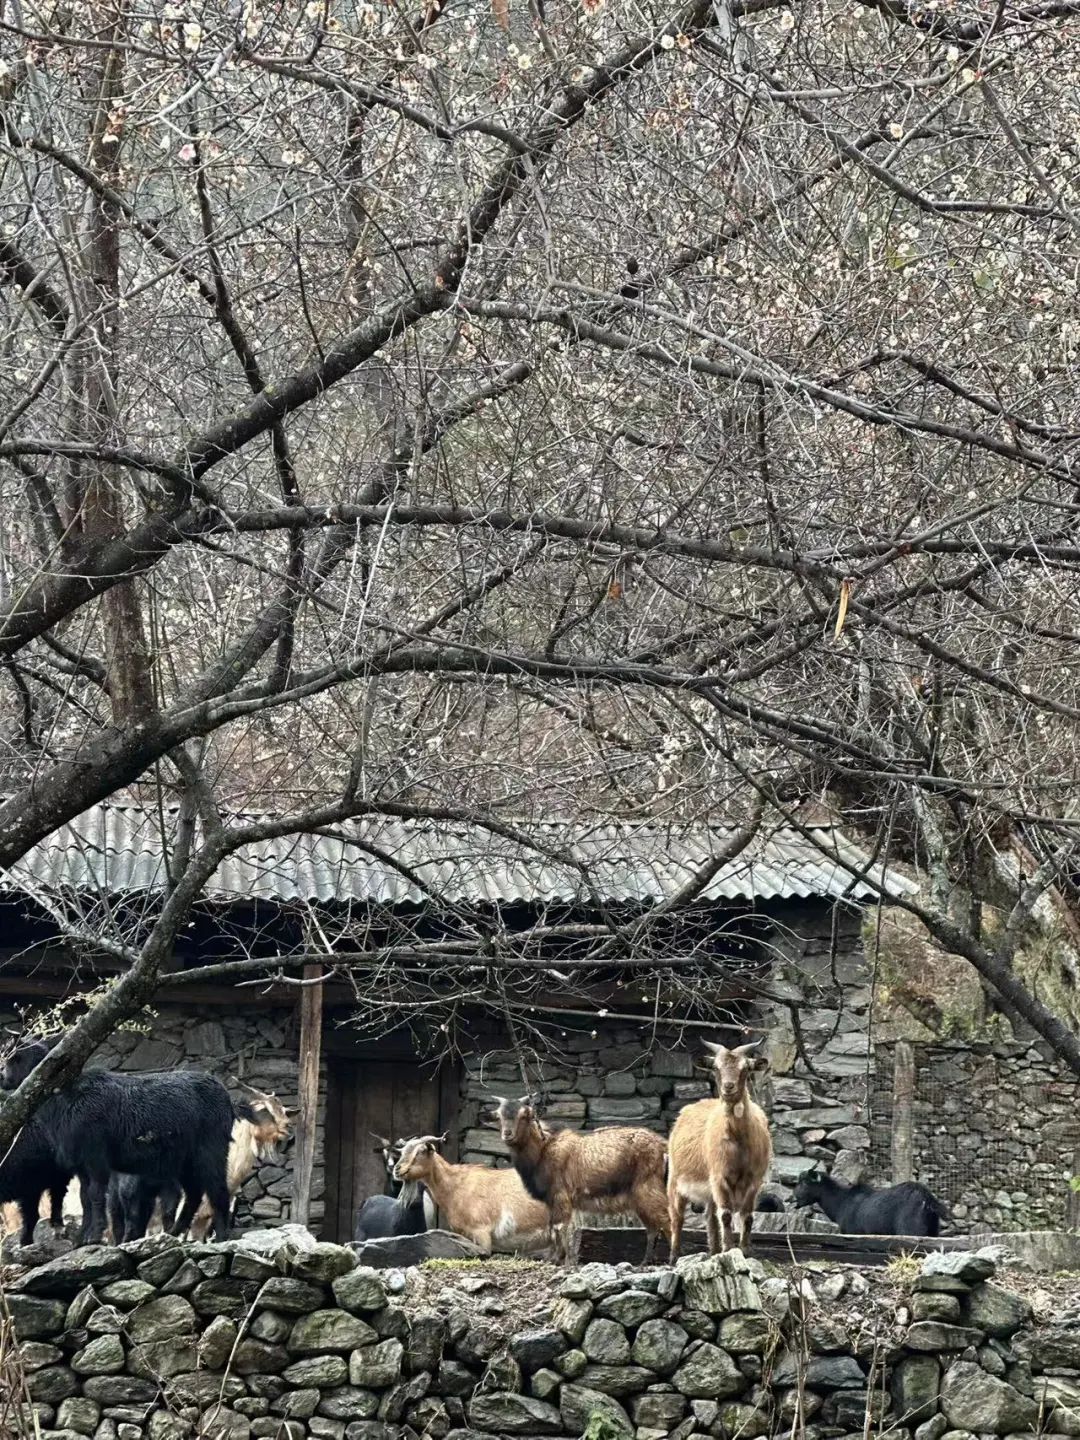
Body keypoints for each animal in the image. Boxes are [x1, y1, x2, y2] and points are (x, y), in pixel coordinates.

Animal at [1, 1042, 244, 1244]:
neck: (64, 1099)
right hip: (184, 1159)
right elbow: (85, 1199)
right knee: (194, 1192)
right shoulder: (81, 1165)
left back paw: (221, 1236)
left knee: (217, 1188)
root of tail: (226, 1097)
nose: (3, 1079)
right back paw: (175, 1231)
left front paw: (94, 1235)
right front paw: (82, 1238)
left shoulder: (95, 1157)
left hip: (211, 1148)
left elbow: (96, 1195)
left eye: (15, 1059)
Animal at [498, 1094, 668, 1267]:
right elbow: (552, 1227)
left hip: (648, 1188)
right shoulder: (551, 1200)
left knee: (666, 1220)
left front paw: (563, 1260)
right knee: (653, 1228)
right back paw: (645, 1262)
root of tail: (664, 1146)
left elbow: (560, 1227)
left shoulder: (560, 1195)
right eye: (499, 1116)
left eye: (524, 1115)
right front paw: (555, 1258)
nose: (507, 1134)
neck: (543, 1150)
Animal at [673, 1036, 771, 1261]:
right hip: (675, 1180)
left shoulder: (755, 1179)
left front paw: (745, 1250)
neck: (739, 1142)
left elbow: (747, 1216)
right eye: (716, 1068)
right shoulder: (719, 1177)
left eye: (745, 1068)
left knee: (710, 1217)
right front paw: (729, 1249)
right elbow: (726, 1215)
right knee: (676, 1217)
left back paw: (713, 1250)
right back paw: (674, 1257)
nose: (728, 1087)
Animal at [794, 1169, 944, 1238]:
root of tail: (926, 1197)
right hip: (933, 1231)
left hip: (910, 1230)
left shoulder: (852, 1232)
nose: (792, 1197)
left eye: (804, 1183)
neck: (841, 1202)